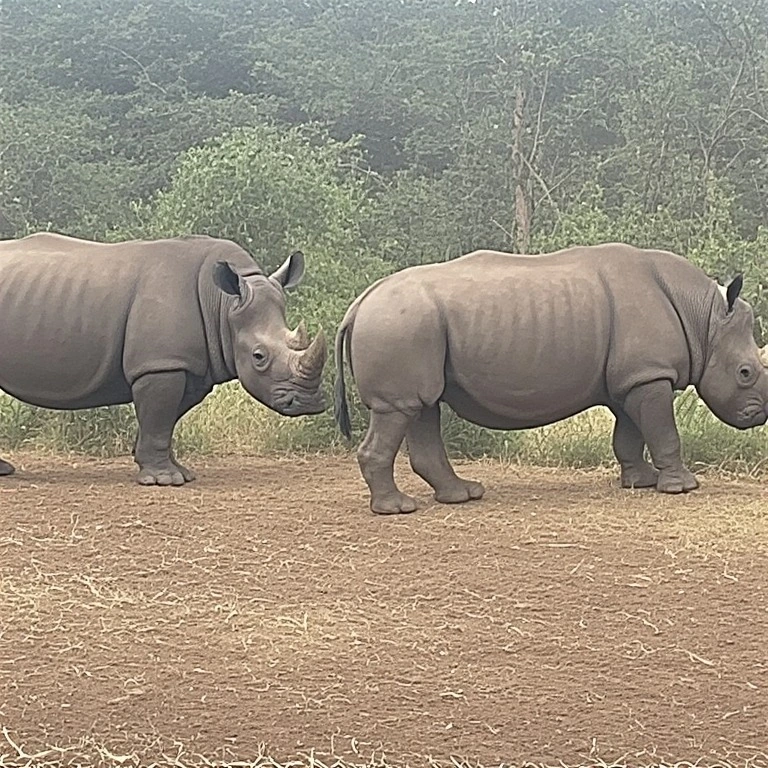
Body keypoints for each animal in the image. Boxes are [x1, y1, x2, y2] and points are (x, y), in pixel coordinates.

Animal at [0, 232, 327, 484]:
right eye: (259, 356)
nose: (309, 403)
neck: (222, 306)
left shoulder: (187, 367)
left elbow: (166, 419)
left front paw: (176, 471)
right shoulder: (161, 365)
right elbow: (159, 416)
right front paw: (165, 480)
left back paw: (4, 471)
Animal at [334, 243, 768, 514]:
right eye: (745, 373)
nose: (758, 415)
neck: (705, 317)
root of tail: (358, 304)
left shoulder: (631, 378)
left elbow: (628, 433)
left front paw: (639, 482)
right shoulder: (649, 375)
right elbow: (664, 431)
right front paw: (683, 487)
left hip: (409, 329)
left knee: (422, 407)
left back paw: (463, 495)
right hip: (399, 325)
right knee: (401, 409)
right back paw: (397, 509)